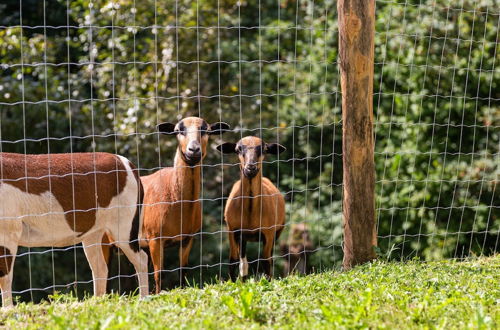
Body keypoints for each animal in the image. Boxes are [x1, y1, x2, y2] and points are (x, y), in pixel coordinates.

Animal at [0, 152, 148, 306]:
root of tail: (126, 163)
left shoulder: (7, 234)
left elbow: (4, 278)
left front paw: (8, 309)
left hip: (124, 229)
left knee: (142, 259)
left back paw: (143, 299)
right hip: (93, 234)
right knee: (100, 268)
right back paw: (97, 302)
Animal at [218, 137, 286, 282]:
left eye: (264, 149)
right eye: (238, 149)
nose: (250, 168)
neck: (250, 212)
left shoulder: (268, 232)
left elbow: (266, 261)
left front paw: (268, 282)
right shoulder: (232, 230)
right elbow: (233, 260)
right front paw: (233, 284)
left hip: (277, 232)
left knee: (269, 258)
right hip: (243, 237)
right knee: (243, 262)